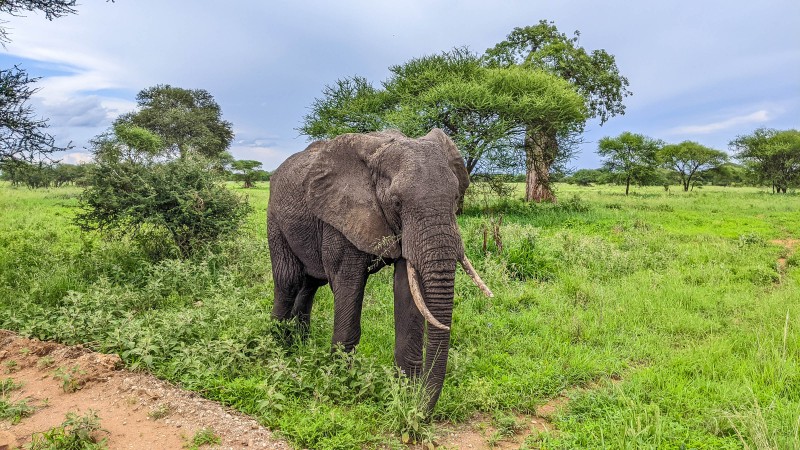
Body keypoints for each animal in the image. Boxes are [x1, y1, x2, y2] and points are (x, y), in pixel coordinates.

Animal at [268, 127, 490, 412]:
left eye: (455, 198)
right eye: (396, 203)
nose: (421, 410)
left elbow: (407, 290)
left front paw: (406, 394)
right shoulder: (340, 216)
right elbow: (348, 283)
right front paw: (341, 381)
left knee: (310, 284)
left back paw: (300, 345)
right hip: (275, 217)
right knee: (289, 280)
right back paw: (277, 347)